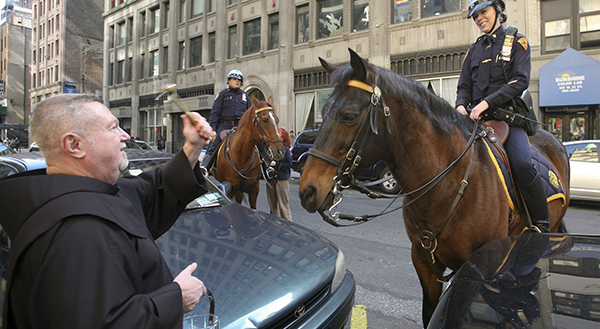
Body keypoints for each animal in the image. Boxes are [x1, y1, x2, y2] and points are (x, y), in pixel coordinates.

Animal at [300, 48, 572, 326]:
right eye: (323, 110)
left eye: (349, 116)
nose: (307, 189)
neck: (445, 186)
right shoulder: (425, 264)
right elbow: (429, 313)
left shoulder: (474, 272)